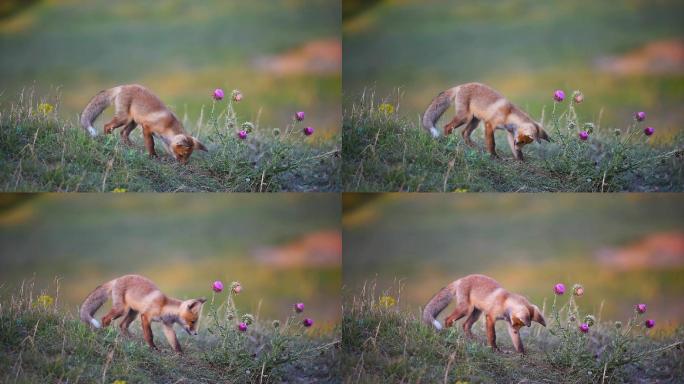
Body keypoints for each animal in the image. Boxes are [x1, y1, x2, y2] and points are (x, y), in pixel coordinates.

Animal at [422, 82, 552, 160]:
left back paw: (474, 147)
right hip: (464, 117)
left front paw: (520, 159)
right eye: (524, 141)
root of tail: (461, 85)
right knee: (447, 127)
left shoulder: (511, 134)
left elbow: (514, 150)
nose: (518, 147)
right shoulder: (490, 124)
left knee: (464, 133)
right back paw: (447, 141)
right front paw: (494, 156)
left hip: (475, 121)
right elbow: (492, 143)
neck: (509, 115)